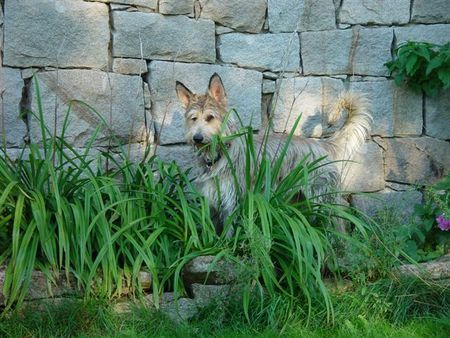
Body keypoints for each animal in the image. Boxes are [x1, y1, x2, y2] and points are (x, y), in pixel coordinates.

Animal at [176, 73, 372, 235]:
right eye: (193, 119)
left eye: (210, 117)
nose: (197, 138)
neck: (221, 154)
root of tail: (321, 144)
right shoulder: (213, 203)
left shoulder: (233, 202)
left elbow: (229, 233)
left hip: (322, 198)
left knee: (339, 223)